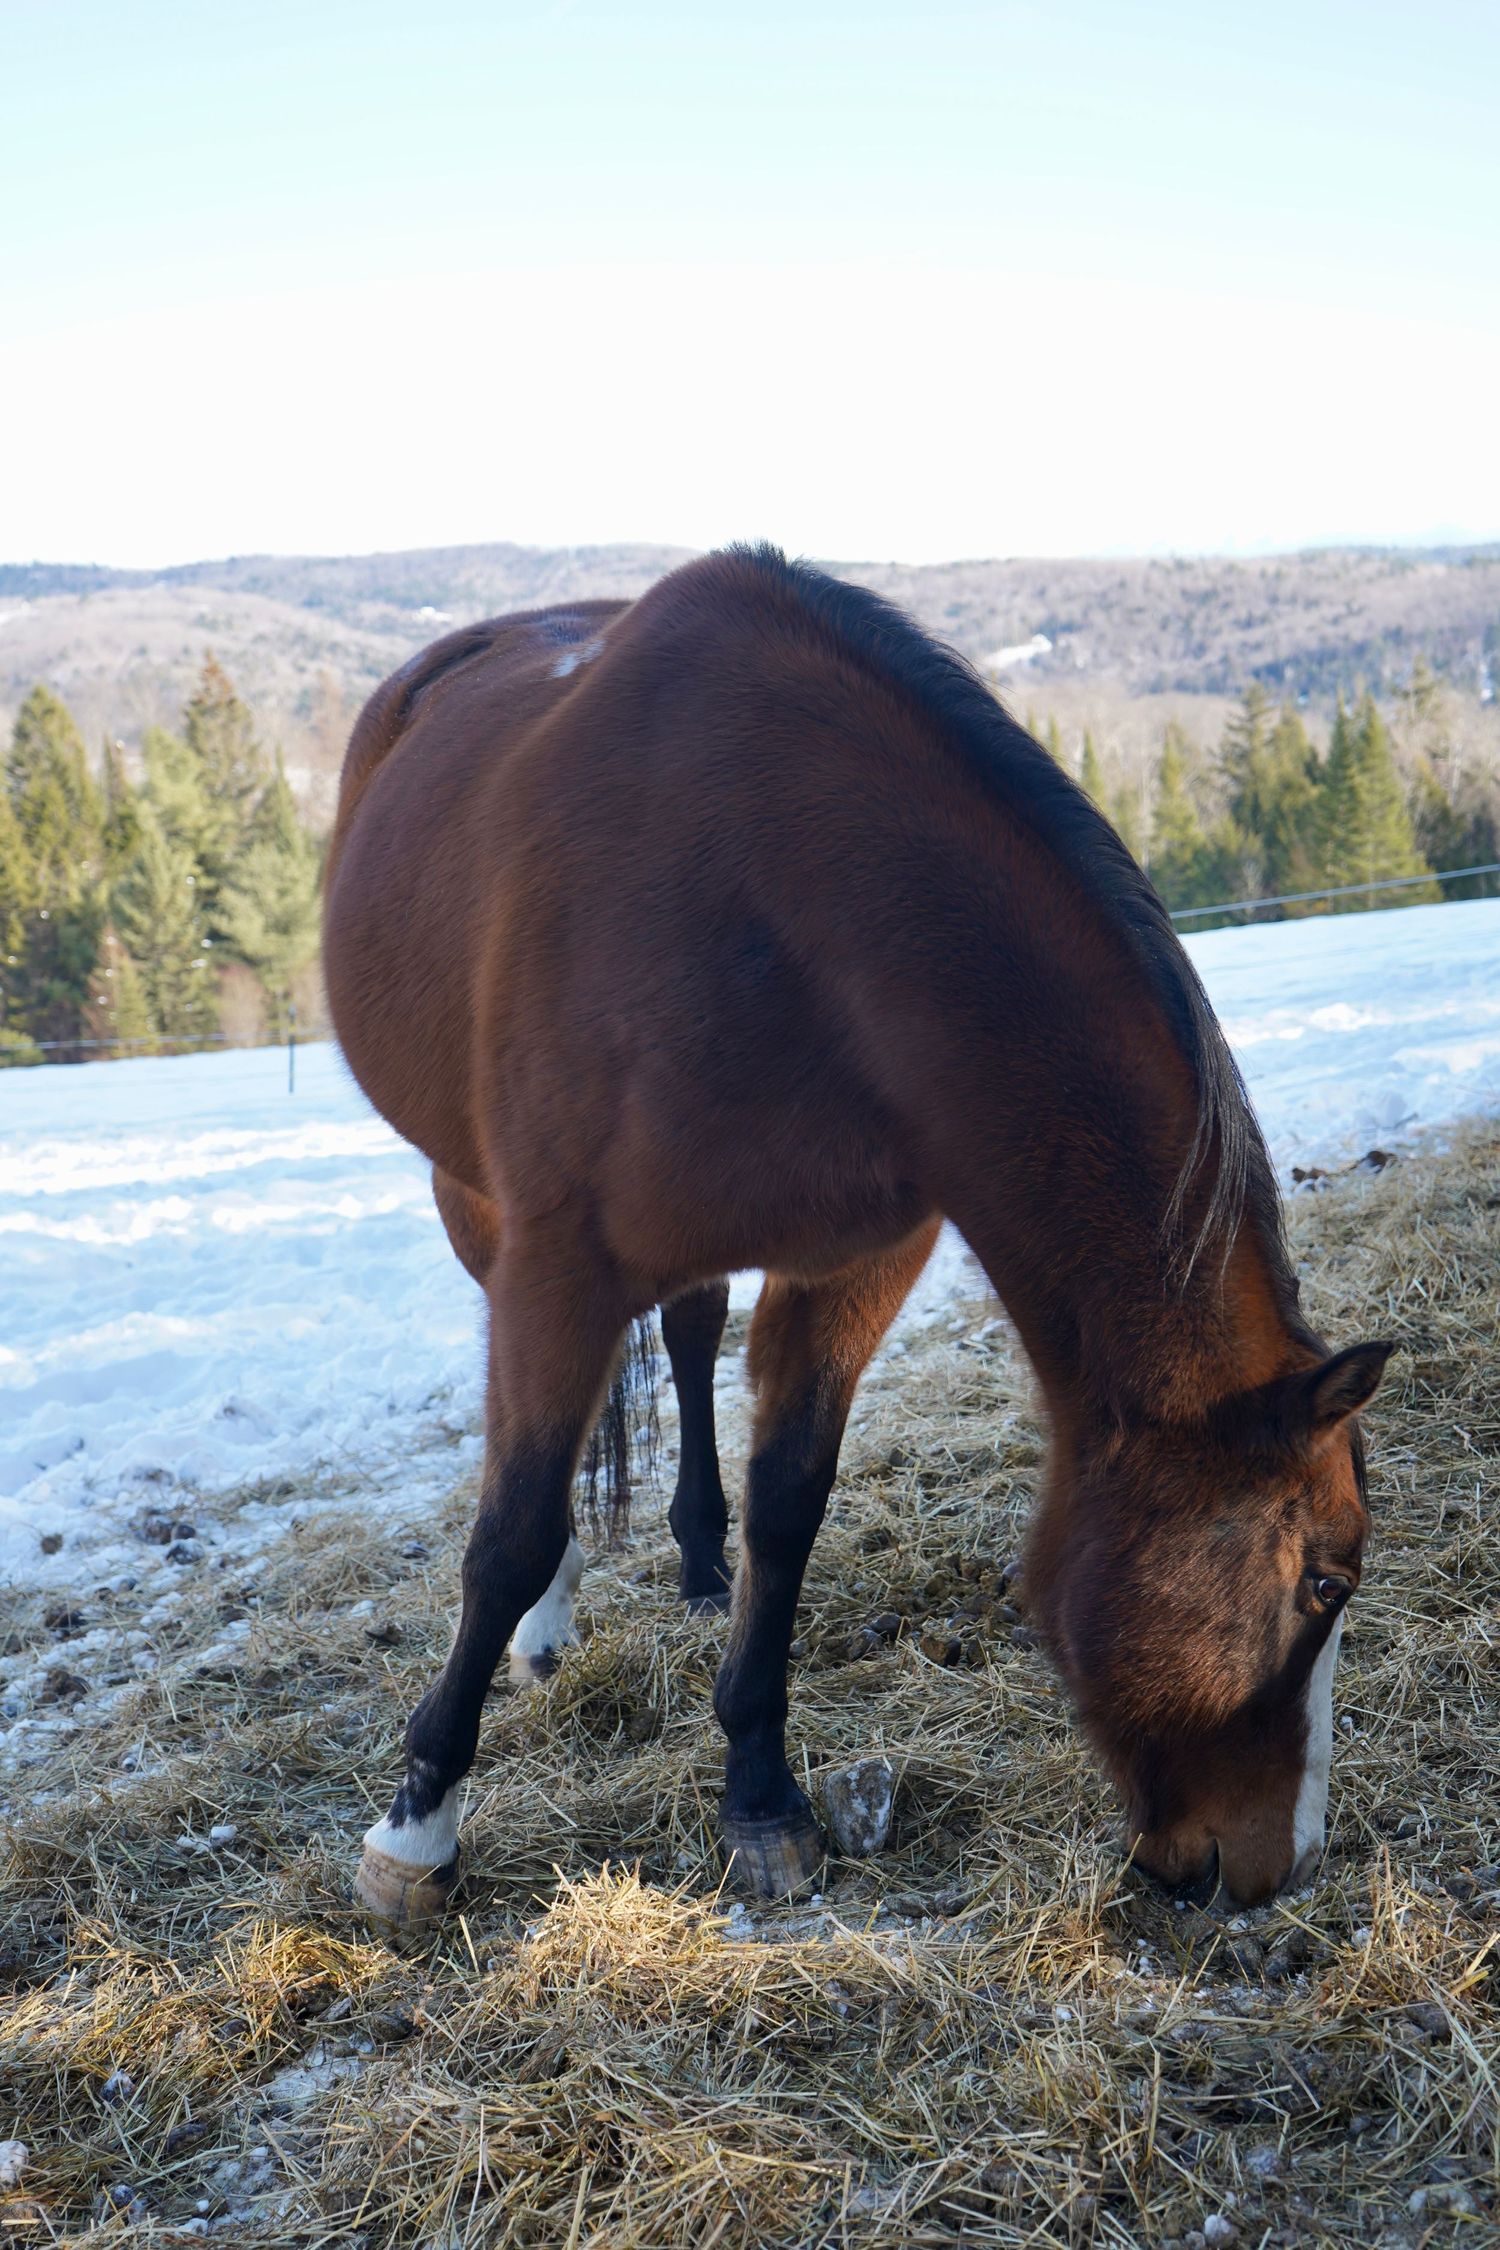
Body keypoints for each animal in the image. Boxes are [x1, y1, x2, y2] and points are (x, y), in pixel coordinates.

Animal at [322, 544, 1390, 1925]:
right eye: (1325, 1582)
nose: (1280, 1866)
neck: (781, 911)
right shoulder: (560, 1262)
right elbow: (509, 1535)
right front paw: (418, 1828)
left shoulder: (854, 1260)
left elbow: (790, 1507)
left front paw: (762, 1796)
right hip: (471, 1197)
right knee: (539, 1467)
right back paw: (547, 1635)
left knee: (688, 1334)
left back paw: (697, 1565)